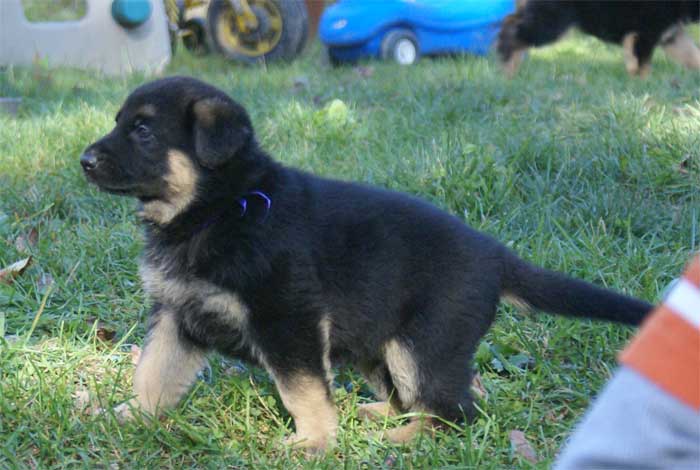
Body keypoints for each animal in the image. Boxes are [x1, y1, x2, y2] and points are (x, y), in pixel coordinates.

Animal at [80, 77, 652, 452]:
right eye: (120, 123)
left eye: (144, 131)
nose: (84, 160)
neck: (223, 206)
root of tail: (496, 255)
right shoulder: (177, 315)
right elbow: (154, 372)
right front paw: (126, 416)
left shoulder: (288, 319)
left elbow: (302, 388)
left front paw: (314, 442)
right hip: (382, 348)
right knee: (432, 398)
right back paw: (374, 415)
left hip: (421, 346)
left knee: (459, 412)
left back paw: (403, 438)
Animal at [498, 0, 700, 76]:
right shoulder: (645, 34)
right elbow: (642, 65)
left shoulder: (671, 35)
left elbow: (692, 55)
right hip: (551, 23)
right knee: (511, 27)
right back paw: (507, 66)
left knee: (512, 20)